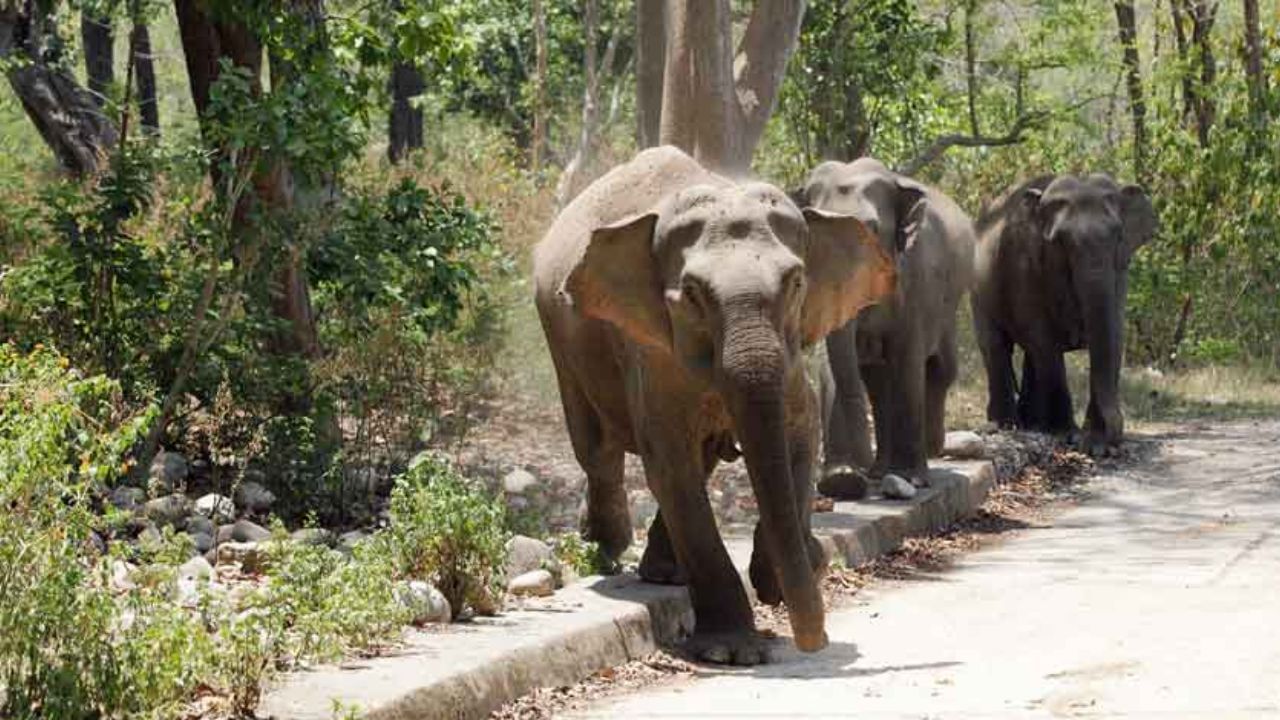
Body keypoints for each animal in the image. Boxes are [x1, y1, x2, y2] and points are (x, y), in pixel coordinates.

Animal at [529, 144, 890, 661]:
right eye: (693, 294)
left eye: (796, 283)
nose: (815, 643)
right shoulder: (650, 348)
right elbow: (669, 463)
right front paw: (731, 651)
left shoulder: (792, 358)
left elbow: (799, 437)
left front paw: (786, 571)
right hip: (560, 335)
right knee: (598, 449)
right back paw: (605, 549)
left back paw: (664, 572)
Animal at [793, 157, 972, 497]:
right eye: (808, 232)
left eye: (872, 230)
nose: (861, 463)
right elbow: (833, 363)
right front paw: (841, 480)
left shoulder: (916, 282)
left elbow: (907, 360)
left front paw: (912, 478)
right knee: (876, 382)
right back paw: (880, 471)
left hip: (949, 308)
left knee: (941, 370)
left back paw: (927, 453)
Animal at [967, 171, 1162, 450]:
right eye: (1060, 242)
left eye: (1118, 235)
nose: (1111, 434)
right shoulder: (1023, 264)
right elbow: (1042, 337)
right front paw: (1067, 434)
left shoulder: (1120, 270)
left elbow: (1114, 334)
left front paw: (1093, 442)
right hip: (979, 290)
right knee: (996, 346)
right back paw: (1004, 424)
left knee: (1029, 355)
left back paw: (1032, 424)